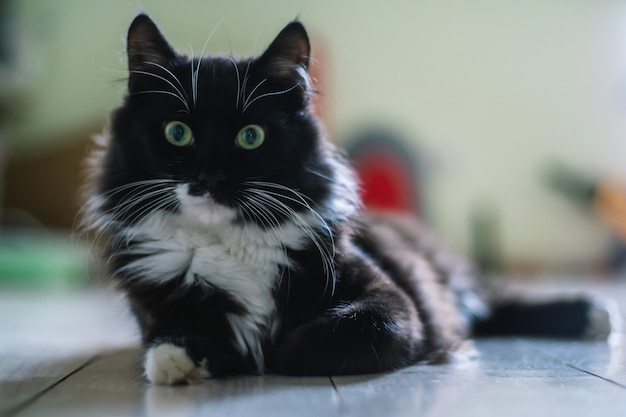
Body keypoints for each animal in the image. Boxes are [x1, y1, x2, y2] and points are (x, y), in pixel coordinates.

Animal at [84, 14, 620, 386]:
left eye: (250, 137)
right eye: (178, 132)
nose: (209, 176)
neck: (228, 244)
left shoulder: (392, 298)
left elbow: (347, 329)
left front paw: (276, 351)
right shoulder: (159, 308)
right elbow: (169, 341)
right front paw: (185, 361)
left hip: (447, 275)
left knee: (496, 301)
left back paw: (594, 314)